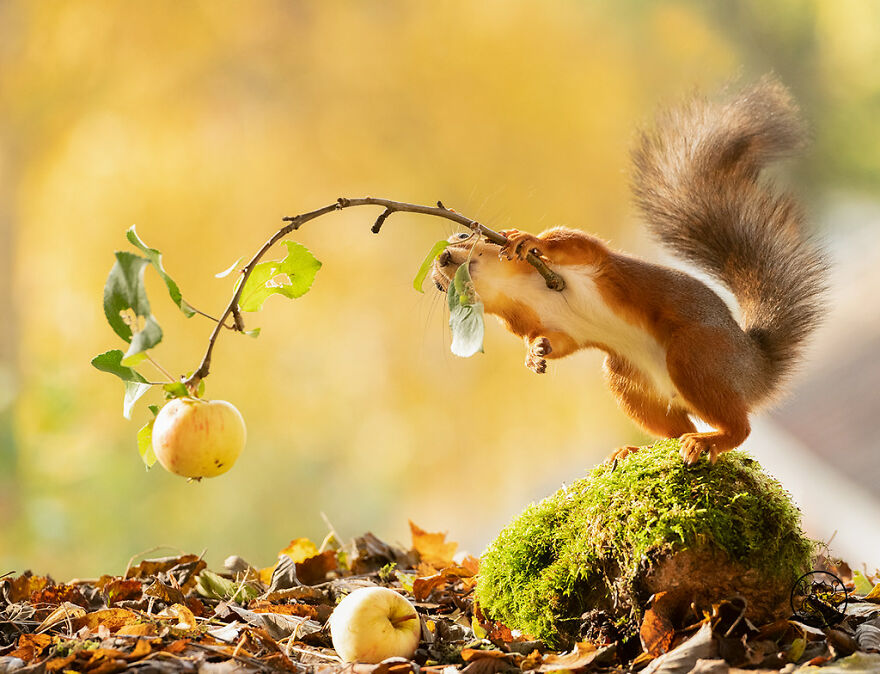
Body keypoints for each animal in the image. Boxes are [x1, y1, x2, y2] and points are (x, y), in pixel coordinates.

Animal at [431, 77, 828, 465]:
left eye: (464, 234)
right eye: (438, 288)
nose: (442, 260)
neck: (517, 287)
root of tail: (755, 369)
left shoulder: (591, 260)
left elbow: (573, 242)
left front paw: (526, 240)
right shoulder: (542, 323)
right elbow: (559, 341)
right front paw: (535, 353)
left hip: (696, 355)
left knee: (739, 427)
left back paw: (708, 441)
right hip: (629, 383)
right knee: (674, 430)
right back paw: (635, 450)